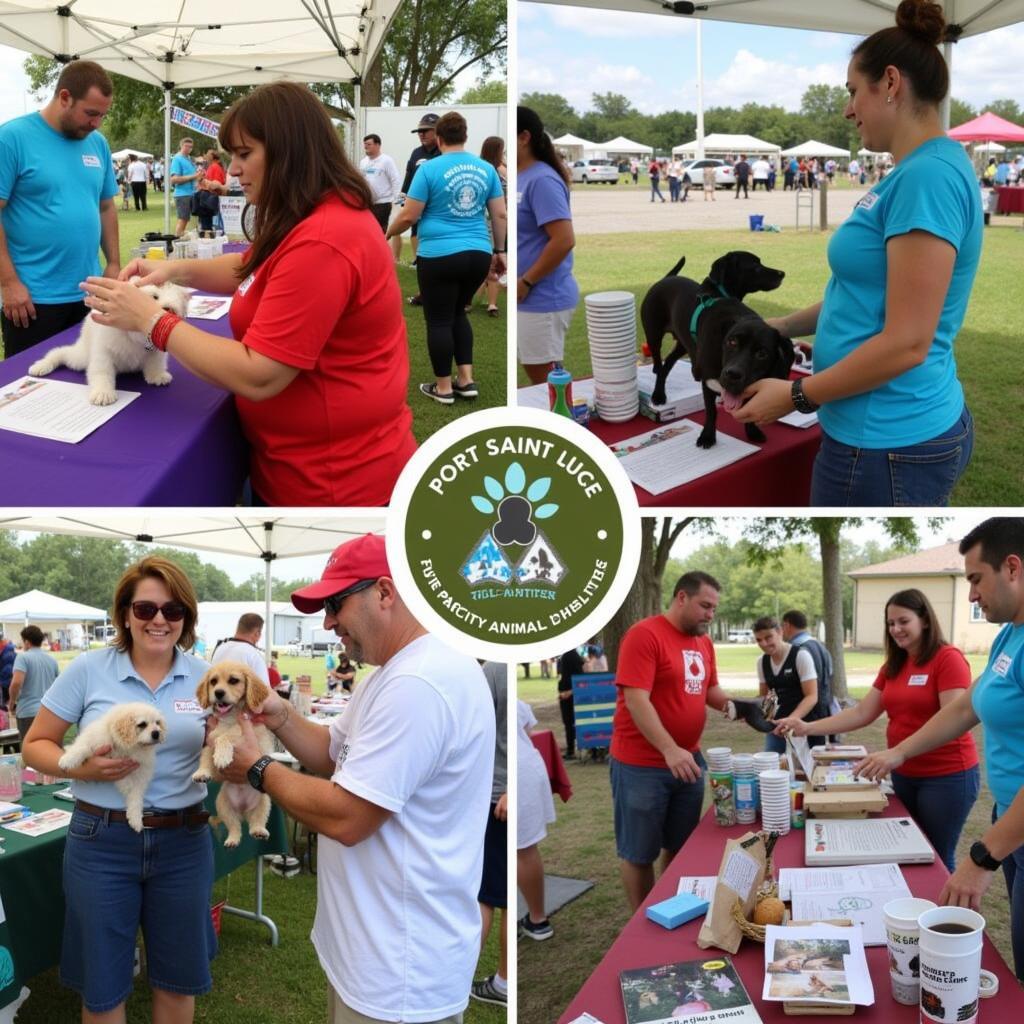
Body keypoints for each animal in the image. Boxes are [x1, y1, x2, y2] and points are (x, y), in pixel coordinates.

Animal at [28, 282, 190, 409]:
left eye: (178, 301)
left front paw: (157, 375)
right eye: (155, 296)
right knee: (60, 352)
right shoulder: (103, 353)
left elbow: (155, 363)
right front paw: (103, 392)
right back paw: (42, 365)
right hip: (80, 358)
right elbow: (102, 373)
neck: (136, 333)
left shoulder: (155, 351)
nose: (169, 309)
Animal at [193, 655, 274, 847]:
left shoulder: (247, 731)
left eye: (233, 680)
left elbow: (226, 736)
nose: (218, 693)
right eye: (213, 682)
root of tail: (243, 811)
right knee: (235, 826)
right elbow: (205, 757)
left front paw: (222, 755)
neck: (229, 719)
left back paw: (259, 831)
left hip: (265, 800)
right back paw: (232, 840)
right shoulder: (209, 741)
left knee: (257, 821)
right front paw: (202, 773)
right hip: (223, 804)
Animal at [643, 249, 794, 446]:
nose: (782, 273)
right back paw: (658, 393)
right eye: (755, 265)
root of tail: (666, 278)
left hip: (683, 344)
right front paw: (708, 436)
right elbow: (711, 412)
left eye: (762, 353)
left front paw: (752, 430)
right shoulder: (708, 380)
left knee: (668, 363)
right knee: (659, 363)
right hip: (654, 336)